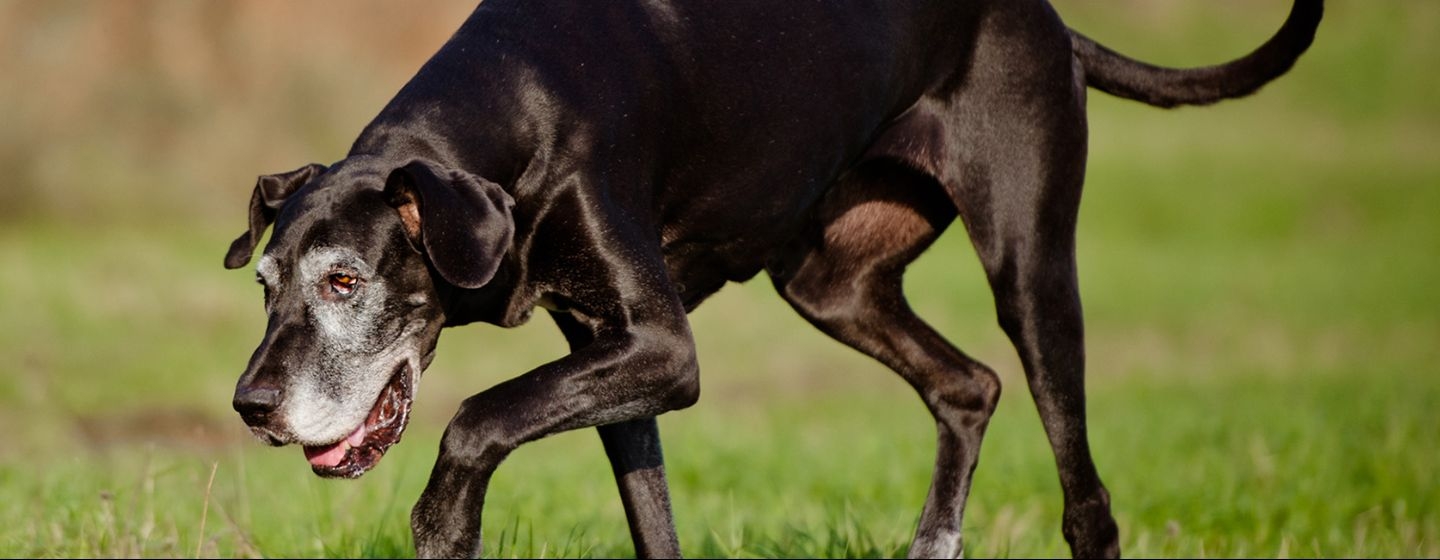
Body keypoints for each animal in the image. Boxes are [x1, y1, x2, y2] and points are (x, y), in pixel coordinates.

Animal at [221, 3, 1319, 552]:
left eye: (346, 282)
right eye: (266, 281)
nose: (250, 406)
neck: (513, 113)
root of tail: (1052, 23)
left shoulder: (661, 349)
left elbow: (476, 417)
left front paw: (445, 520)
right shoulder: (615, 359)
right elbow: (650, 514)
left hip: (1033, 272)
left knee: (1083, 490)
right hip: (832, 281)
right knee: (968, 385)